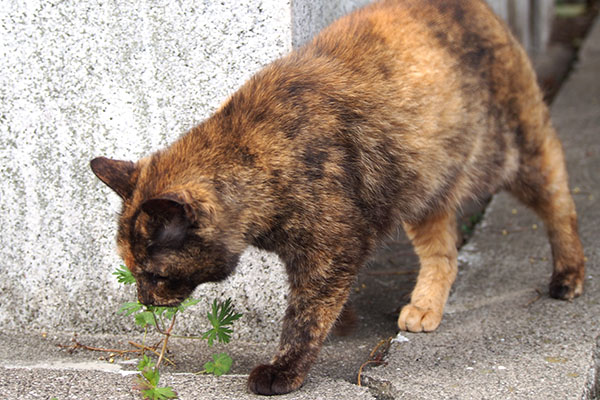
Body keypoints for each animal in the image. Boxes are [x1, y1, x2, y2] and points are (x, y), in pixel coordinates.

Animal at [91, 0, 584, 394]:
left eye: (154, 273)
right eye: (131, 269)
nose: (144, 300)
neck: (255, 150)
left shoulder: (330, 251)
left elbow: (304, 317)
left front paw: (284, 371)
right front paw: (343, 324)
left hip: (517, 152)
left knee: (561, 201)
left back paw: (569, 275)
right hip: (421, 183)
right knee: (442, 252)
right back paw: (425, 307)